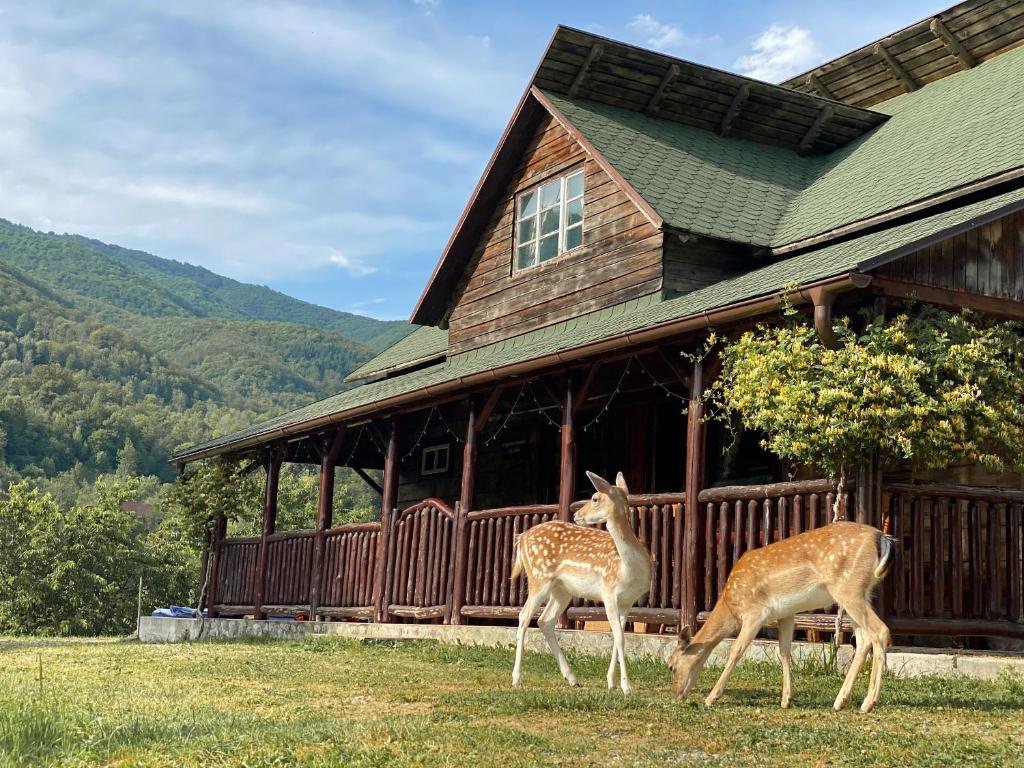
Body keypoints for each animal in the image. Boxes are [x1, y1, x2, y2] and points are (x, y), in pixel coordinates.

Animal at [510, 471, 652, 695]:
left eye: (594, 498)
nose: (577, 515)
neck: (628, 569)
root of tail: (522, 537)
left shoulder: (627, 601)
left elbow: (618, 637)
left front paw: (611, 682)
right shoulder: (608, 592)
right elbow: (620, 638)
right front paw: (626, 686)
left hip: (562, 590)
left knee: (544, 620)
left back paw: (572, 678)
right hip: (538, 577)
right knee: (524, 616)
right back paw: (516, 679)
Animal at [668, 521, 894, 713]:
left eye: (671, 666)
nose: (677, 694)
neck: (731, 605)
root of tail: (881, 537)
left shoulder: (754, 613)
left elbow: (736, 651)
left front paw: (711, 697)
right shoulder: (786, 614)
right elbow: (784, 652)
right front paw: (786, 699)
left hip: (848, 589)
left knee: (880, 631)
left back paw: (868, 703)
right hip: (859, 593)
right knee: (864, 640)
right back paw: (840, 701)